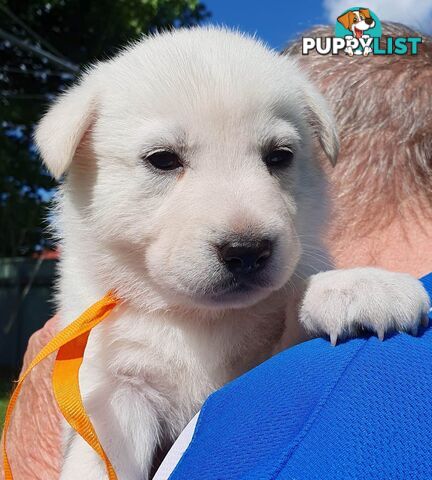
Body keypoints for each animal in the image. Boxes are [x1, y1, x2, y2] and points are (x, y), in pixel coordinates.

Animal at [34, 27, 428, 480]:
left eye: (279, 156)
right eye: (163, 160)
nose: (247, 251)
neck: (197, 319)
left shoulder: (257, 362)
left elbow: (293, 307)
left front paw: (356, 286)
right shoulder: (114, 388)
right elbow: (99, 458)